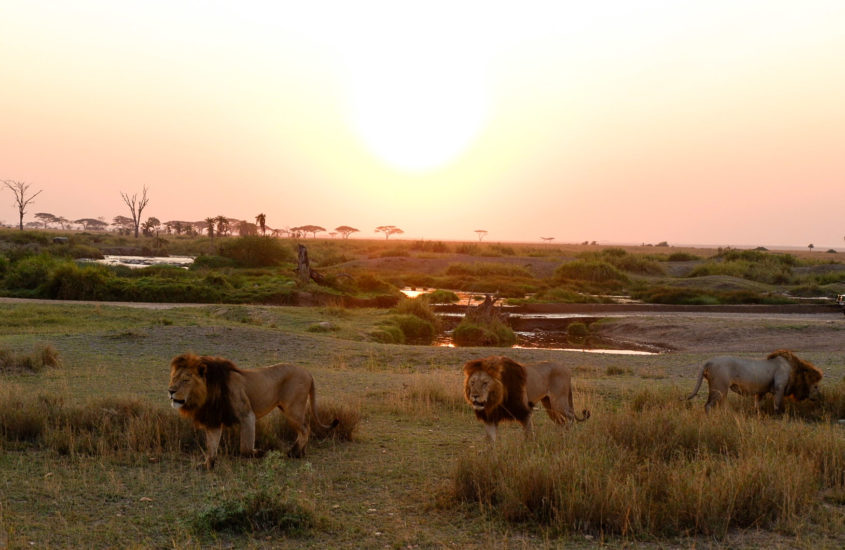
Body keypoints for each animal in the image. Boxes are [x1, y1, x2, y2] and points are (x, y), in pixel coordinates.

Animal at [166, 354, 338, 470]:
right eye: (174, 378)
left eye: (186, 380)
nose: (170, 391)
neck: (206, 394)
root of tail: (308, 373)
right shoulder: (213, 420)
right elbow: (212, 446)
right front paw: (208, 464)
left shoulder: (247, 415)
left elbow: (245, 448)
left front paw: (259, 452)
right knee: (304, 429)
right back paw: (300, 452)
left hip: (293, 409)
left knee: (305, 428)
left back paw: (294, 452)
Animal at [684, 350, 816, 414]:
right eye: (815, 386)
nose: (817, 397)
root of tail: (709, 361)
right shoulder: (779, 387)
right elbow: (777, 406)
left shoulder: (761, 391)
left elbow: (758, 405)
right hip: (719, 388)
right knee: (708, 406)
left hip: (721, 390)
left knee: (720, 405)